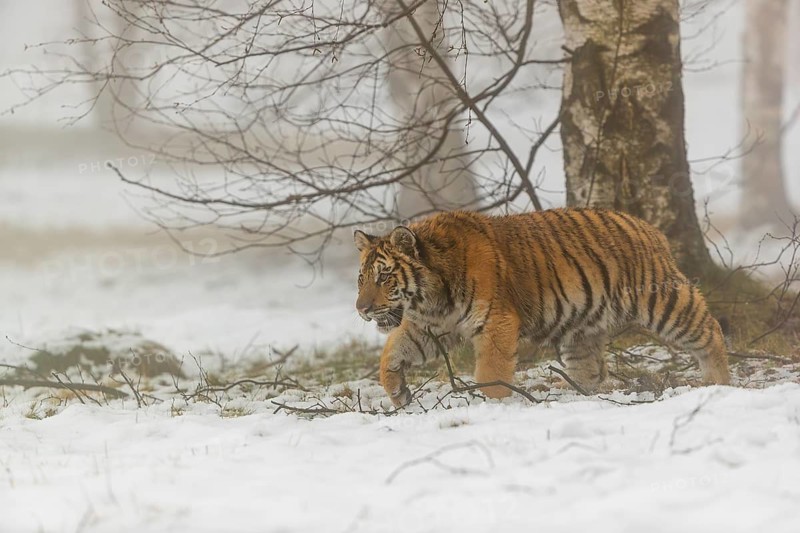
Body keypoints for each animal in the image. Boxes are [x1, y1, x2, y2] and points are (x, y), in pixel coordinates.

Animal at [354, 208, 730, 407]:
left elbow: (490, 370)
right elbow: (391, 352)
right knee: (591, 370)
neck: (431, 297)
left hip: (663, 302)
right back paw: (570, 394)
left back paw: (718, 382)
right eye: (362, 278)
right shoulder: (430, 327)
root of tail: (646, 226)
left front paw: (494, 403)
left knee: (709, 330)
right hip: (582, 327)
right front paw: (398, 392)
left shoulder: (495, 321)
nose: (361, 309)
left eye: (384, 276)